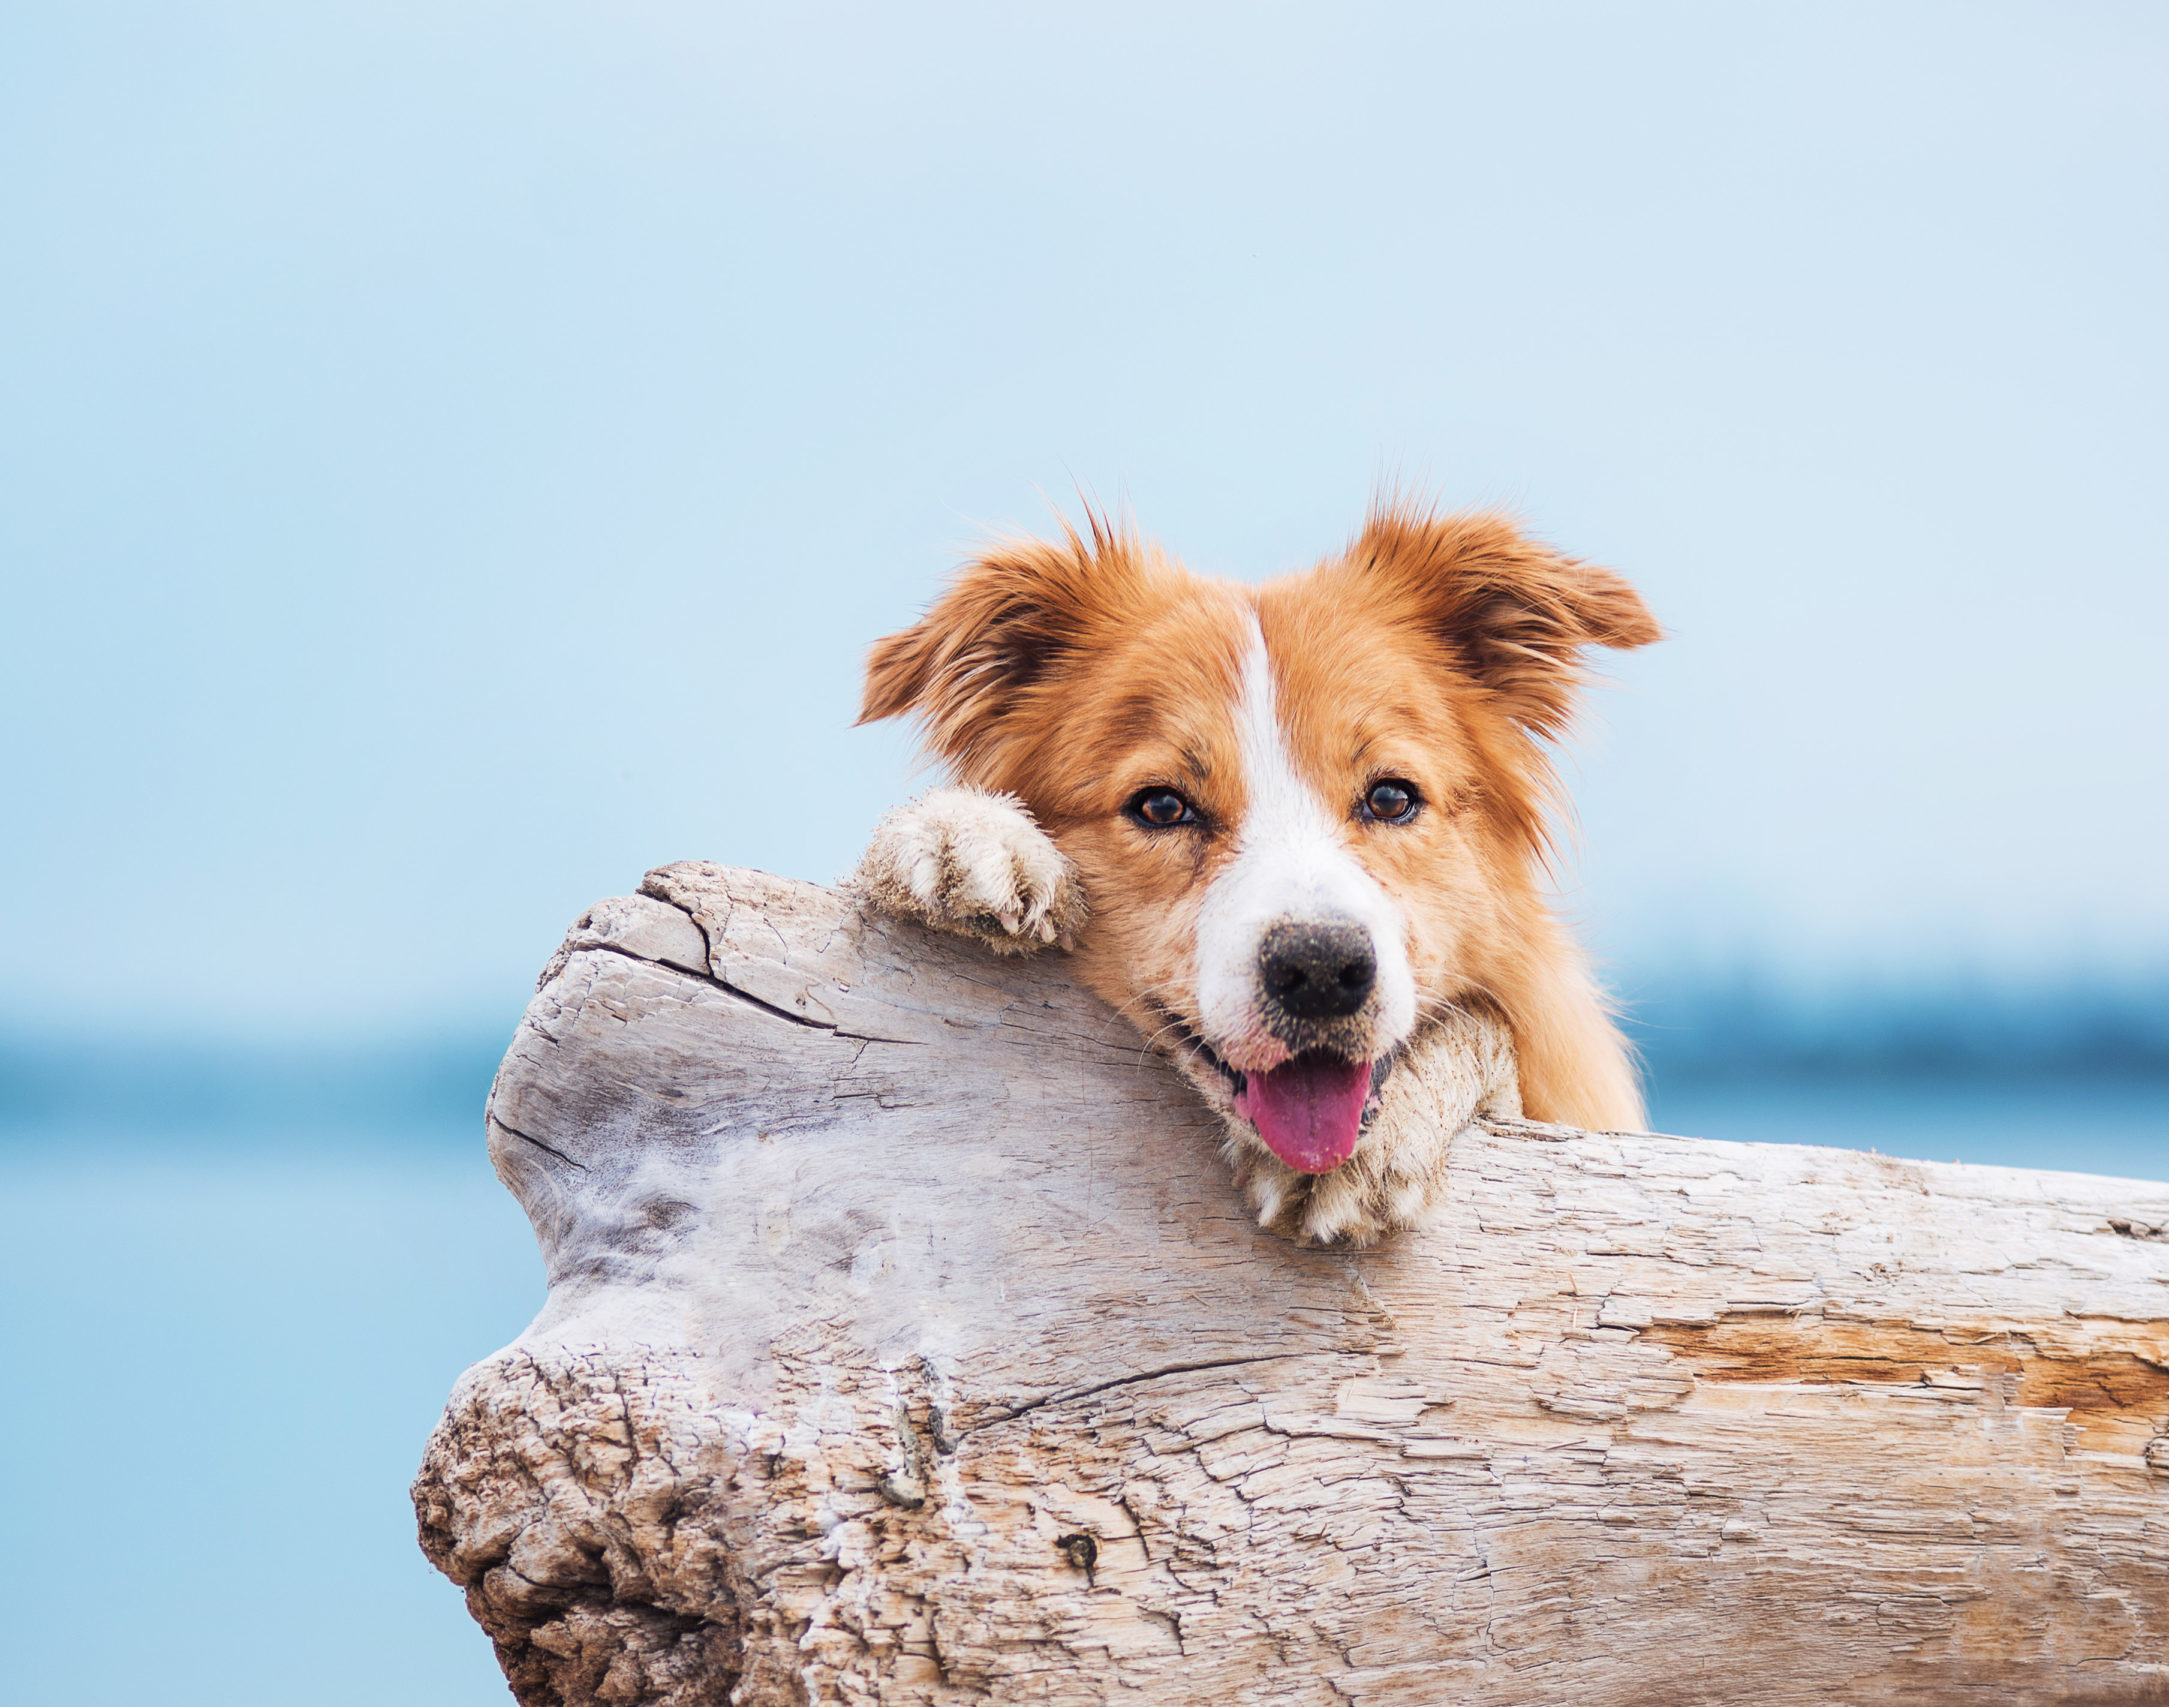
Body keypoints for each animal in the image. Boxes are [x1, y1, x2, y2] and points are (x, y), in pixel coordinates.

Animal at [845, 503, 1657, 1240]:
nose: (1321, 969)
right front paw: (968, 833)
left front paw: (1393, 1129)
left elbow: (1491, 1039)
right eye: (1161, 805)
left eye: (1391, 797)